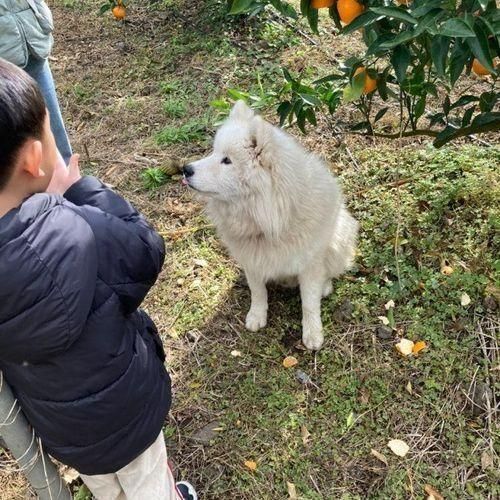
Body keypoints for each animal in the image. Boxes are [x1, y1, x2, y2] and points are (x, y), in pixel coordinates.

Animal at [182, 100, 358, 352]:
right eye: (214, 153)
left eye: (227, 160)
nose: (186, 169)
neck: (268, 221)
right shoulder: (252, 259)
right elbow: (258, 292)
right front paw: (257, 316)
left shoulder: (309, 264)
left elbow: (309, 303)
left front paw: (313, 333)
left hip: (339, 238)